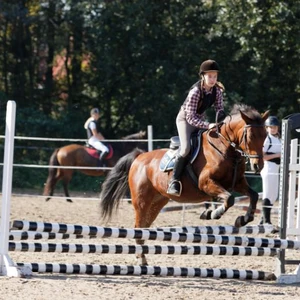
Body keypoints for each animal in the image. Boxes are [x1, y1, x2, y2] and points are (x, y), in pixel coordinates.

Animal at [99, 103, 268, 264]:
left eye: (265, 136)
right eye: (250, 136)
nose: (257, 166)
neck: (224, 149)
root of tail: (139, 157)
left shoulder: (237, 183)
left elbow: (253, 196)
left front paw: (242, 220)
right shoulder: (206, 183)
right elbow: (229, 199)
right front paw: (212, 213)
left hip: (157, 202)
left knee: (145, 226)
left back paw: (143, 257)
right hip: (141, 201)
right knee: (138, 227)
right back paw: (141, 258)